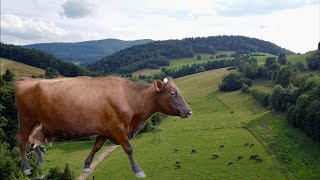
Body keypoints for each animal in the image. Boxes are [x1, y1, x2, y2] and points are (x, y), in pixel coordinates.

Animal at [14, 75, 190, 177]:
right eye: (173, 93)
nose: (189, 111)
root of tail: (24, 80)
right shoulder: (117, 127)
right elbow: (129, 148)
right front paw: (138, 170)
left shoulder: (105, 129)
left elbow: (96, 147)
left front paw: (86, 165)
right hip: (26, 120)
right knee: (22, 140)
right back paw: (27, 168)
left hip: (38, 125)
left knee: (34, 142)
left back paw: (41, 163)